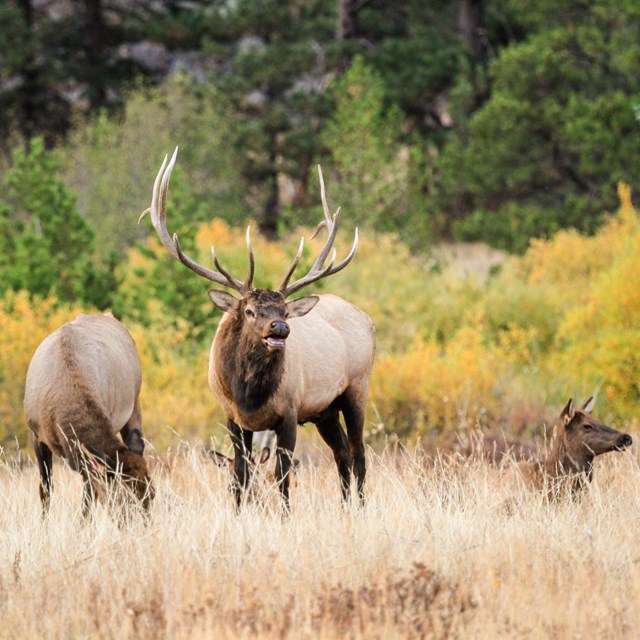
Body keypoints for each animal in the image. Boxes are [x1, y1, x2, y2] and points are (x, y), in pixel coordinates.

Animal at [24, 314, 154, 516]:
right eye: (125, 497)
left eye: (151, 495)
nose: (146, 522)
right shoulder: (37, 435)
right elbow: (45, 489)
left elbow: (89, 497)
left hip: (134, 403)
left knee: (135, 442)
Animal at [140, 147, 375, 509]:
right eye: (249, 310)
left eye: (285, 310)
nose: (280, 328)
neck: (249, 396)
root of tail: (367, 319)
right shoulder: (233, 418)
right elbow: (240, 473)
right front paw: (239, 512)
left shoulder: (290, 413)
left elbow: (282, 475)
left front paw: (285, 514)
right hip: (325, 410)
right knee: (342, 455)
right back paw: (345, 507)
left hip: (356, 388)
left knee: (359, 453)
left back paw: (359, 508)